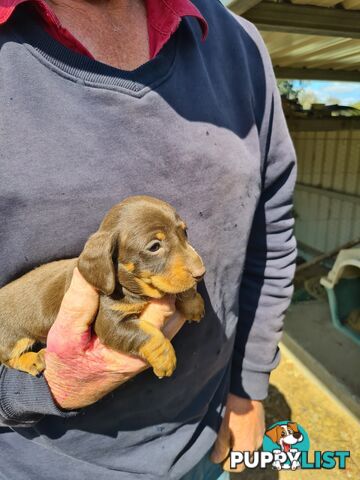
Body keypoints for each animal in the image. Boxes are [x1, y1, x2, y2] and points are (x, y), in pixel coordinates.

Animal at [0, 195, 205, 378]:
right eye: (154, 247)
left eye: (185, 232)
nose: (201, 273)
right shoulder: (110, 322)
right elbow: (146, 334)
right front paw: (164, 358)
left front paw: (192, 303)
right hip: (13, 338)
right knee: (7, 358)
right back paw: (32, 360)